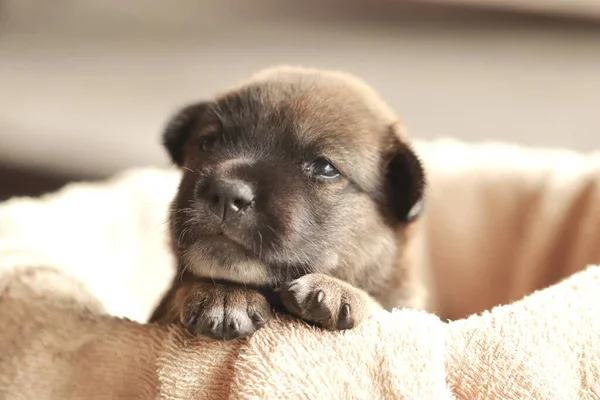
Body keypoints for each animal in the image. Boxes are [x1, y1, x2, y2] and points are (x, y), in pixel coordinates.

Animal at [152, 66, 428, 340]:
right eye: (208, 143)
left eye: (325, 168)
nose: (227, 193)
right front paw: (224, 294)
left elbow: (383, 306)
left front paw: (339, 289)